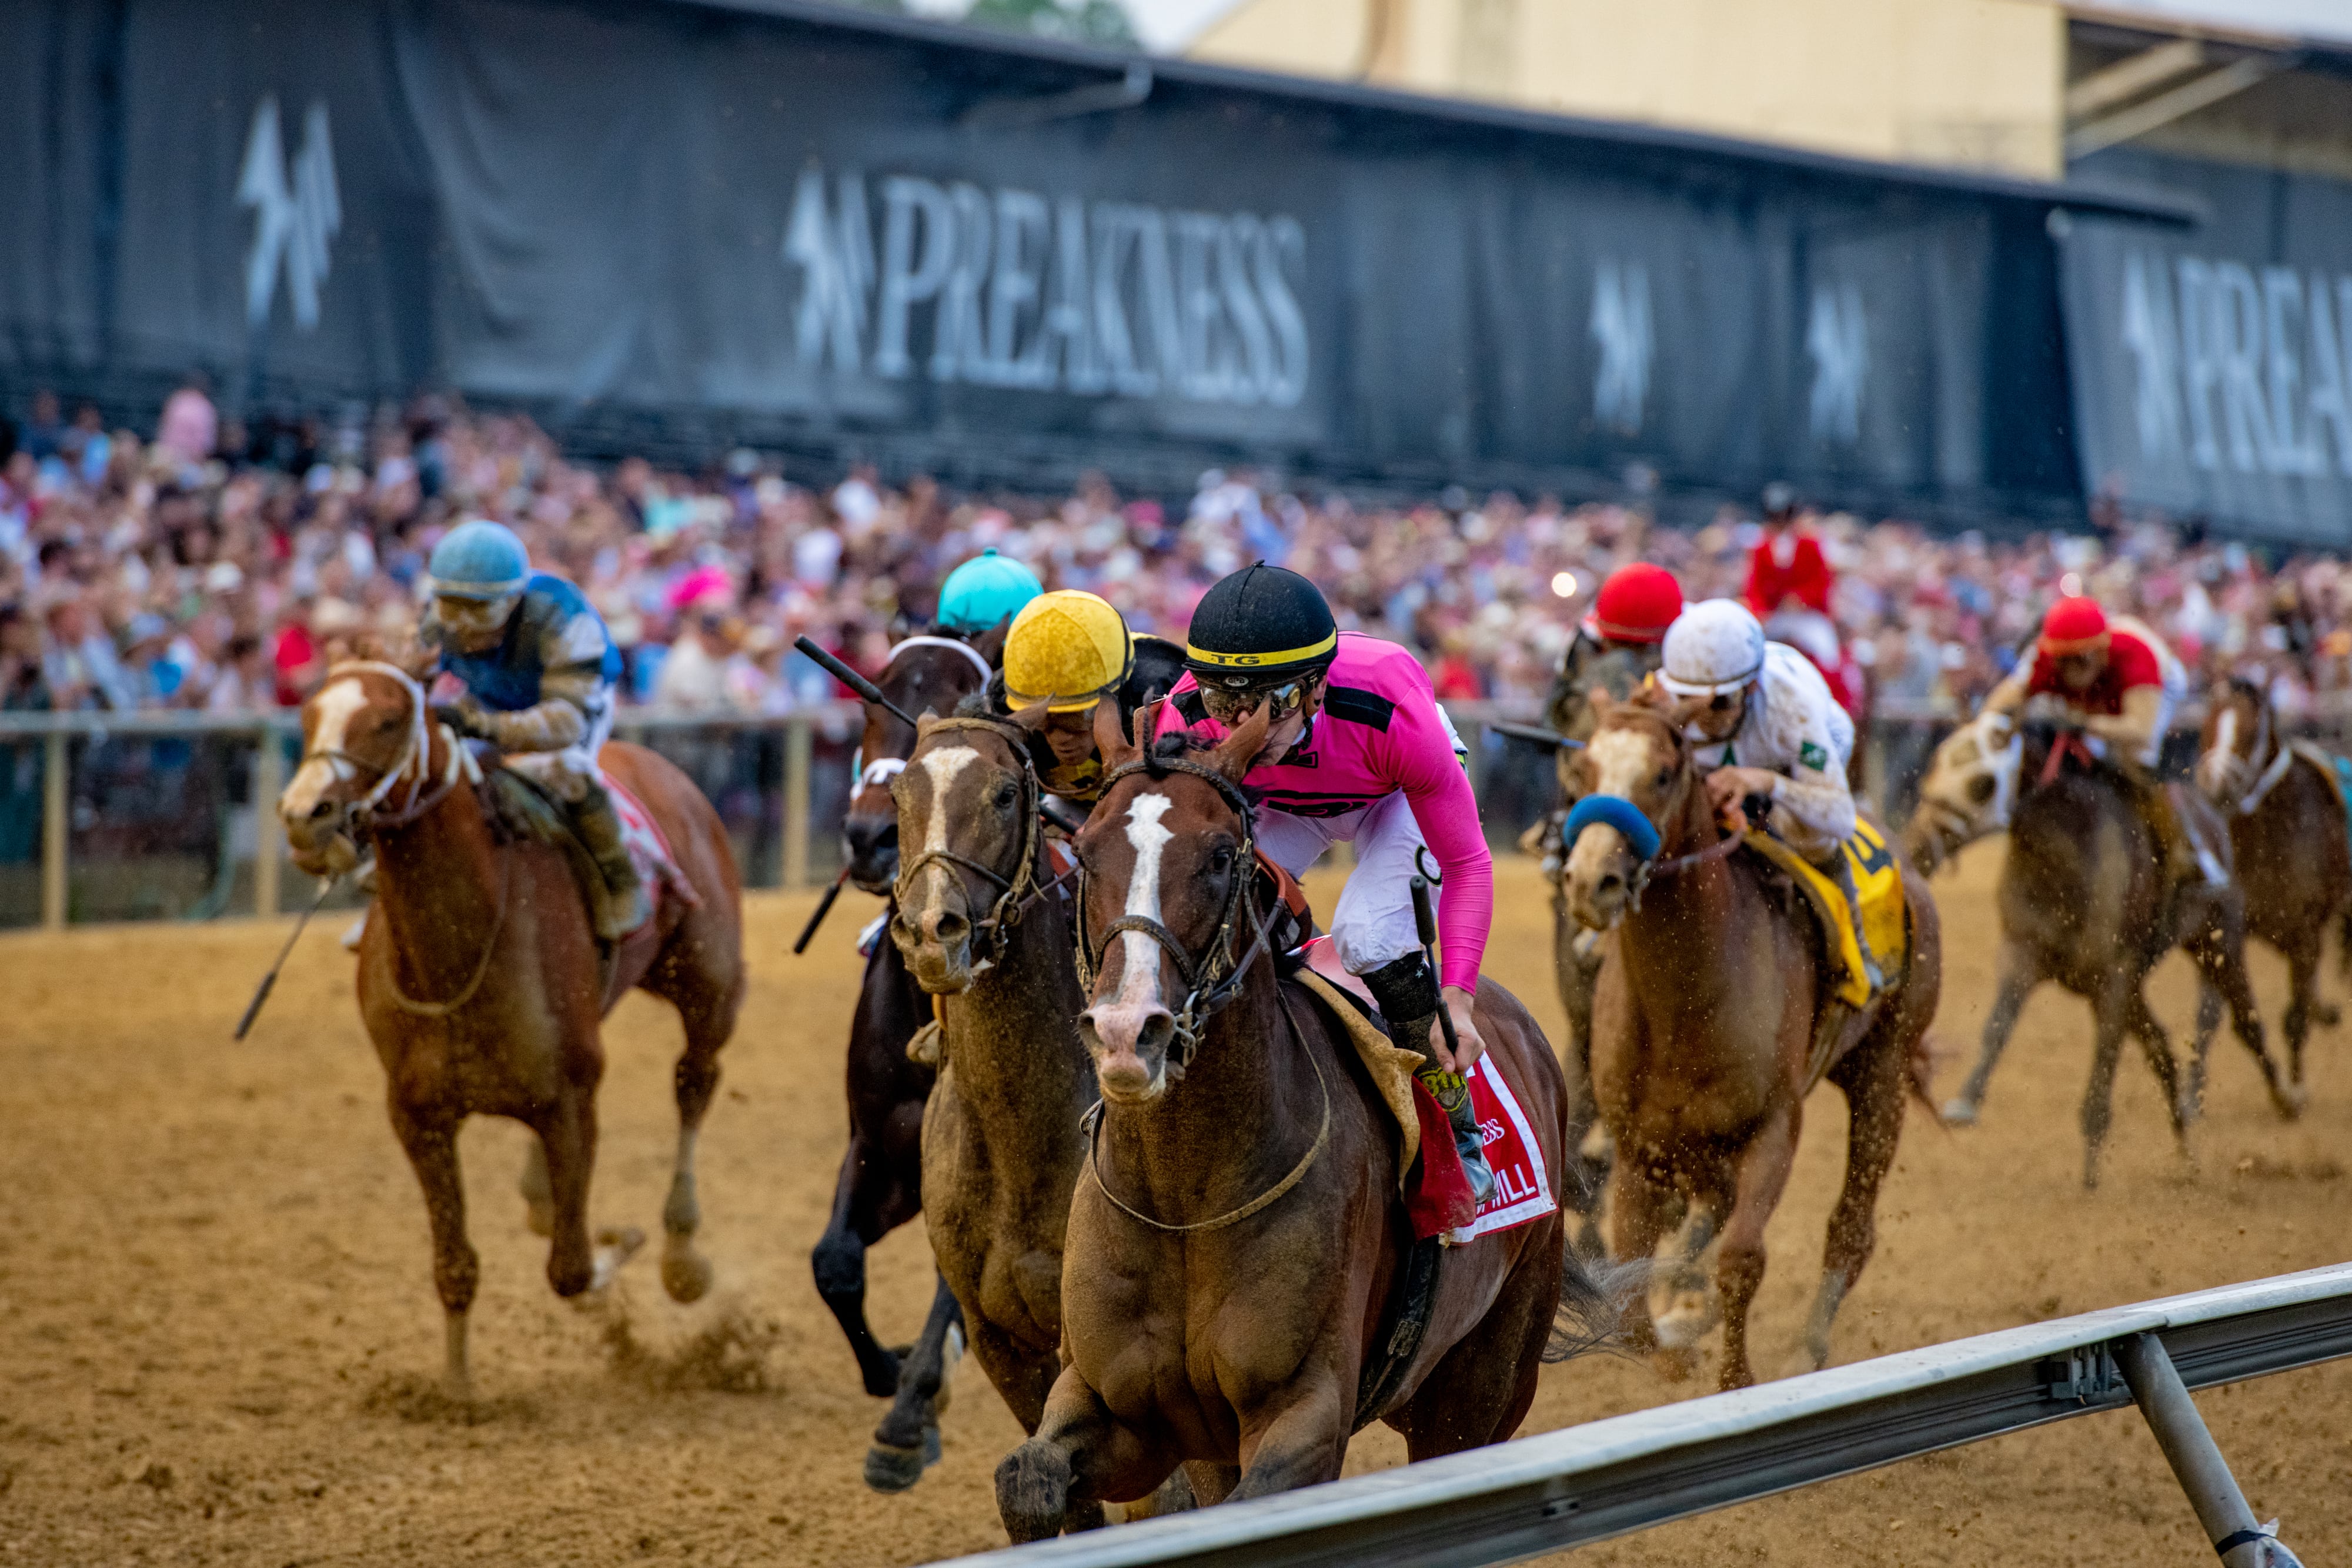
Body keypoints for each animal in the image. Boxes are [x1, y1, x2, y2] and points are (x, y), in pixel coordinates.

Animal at [285, 658, 743, 1392]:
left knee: (694, 1082)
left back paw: (681, 1252)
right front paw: (457, 1389)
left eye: (388, 720)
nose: (305, 814)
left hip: (709, 984)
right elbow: (457, 1266)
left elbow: (573, 1269)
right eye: (307, 715)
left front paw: (622, 1245)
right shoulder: (418, 1116)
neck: (455, 953)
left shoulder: (571, 1101)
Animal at [993, 705, 1618, 1542]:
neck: (1185, 1196)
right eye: (1086, 854)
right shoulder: (1116, 1407)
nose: (1129, 1032)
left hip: (1480, 1382)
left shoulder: (1302, 1415)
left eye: (1221, 856)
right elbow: (1025, 1480)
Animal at [1562, 691, 1947, 1392]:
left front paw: (1734, 1376)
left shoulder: (1772, 1125)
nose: (1590, 882)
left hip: (1884, 1067)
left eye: (1663, 774)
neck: (1686, 1001)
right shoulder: (1640, 1144)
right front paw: (1671, 1338)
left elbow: (1741, 1257)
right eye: (1582, 772)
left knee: (1850, 1228)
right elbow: (1632, 1281)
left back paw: (1805, 1348)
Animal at [2183, 681, 2352, 1100]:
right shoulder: (2225, 930)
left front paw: (2296, 1087)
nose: (2217, 788)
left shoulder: (2305, 930)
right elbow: (2231, 1019)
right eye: (2209, 721)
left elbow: (2294, 1019)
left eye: (2250, 731)